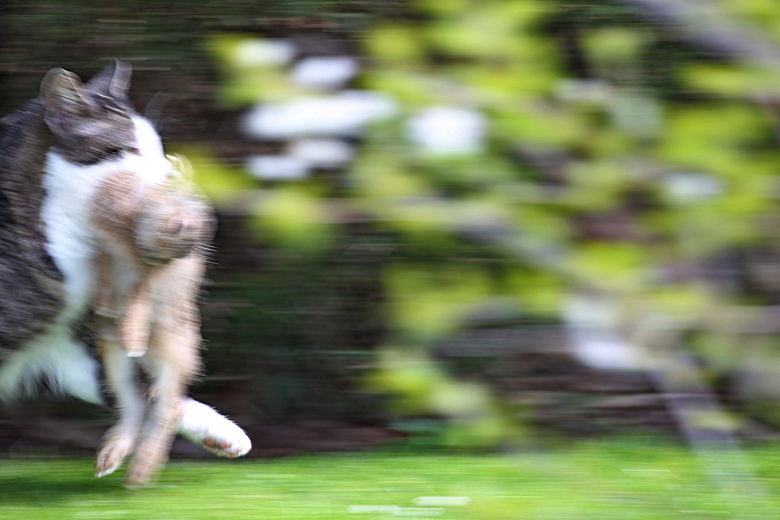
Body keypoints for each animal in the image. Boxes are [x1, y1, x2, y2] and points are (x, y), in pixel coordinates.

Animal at [0, 62, 250, 488]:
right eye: (131, 151)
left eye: (159, 149)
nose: (174, 176)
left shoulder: (59, 338)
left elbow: (140, 388)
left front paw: (221, 432)